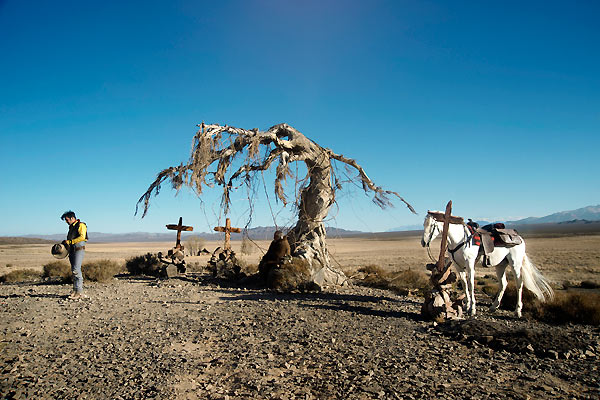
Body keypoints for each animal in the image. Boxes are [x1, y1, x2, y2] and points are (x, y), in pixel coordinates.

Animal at [422, 211, 552, 318]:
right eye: (424, 224)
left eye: (431, 225)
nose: (423, 242)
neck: (459, 239)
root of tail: (519, 238)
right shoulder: (459, 267)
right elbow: (464, 285)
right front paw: (466, 306)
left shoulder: (470, 265)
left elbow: (471, 285)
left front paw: (472, 309)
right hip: (500, 265)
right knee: (504, 283)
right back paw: (493, 307)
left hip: (515, 264)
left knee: (519, 284)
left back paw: (517, 311)